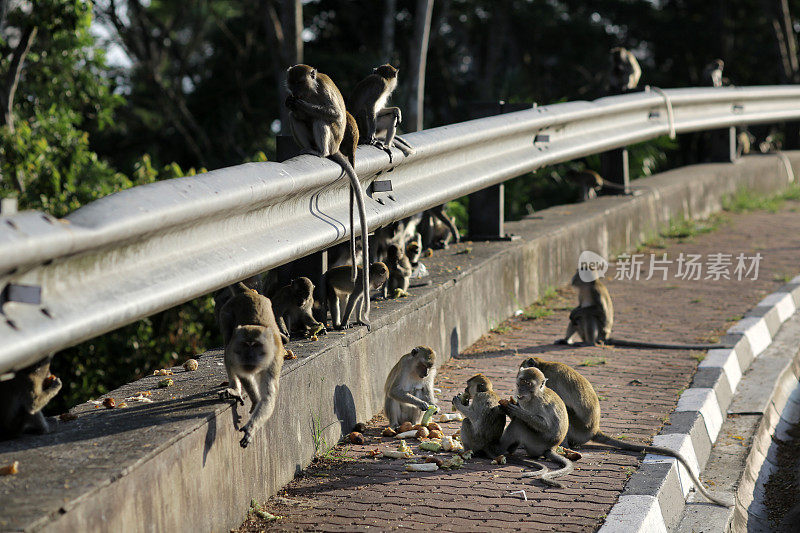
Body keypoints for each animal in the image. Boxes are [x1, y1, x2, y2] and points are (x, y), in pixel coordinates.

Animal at [219, 280, 288, 446]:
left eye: (256, 346)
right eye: (245, 345)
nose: (248, 357)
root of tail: (249, 293)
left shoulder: (273, 362)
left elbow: (268, 395)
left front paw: (252, 427)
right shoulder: (236, 354)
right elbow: (240, 370)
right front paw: (256, 401)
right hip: (226, 313)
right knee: (227, 345)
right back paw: (235, 388)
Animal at [560, 270, 728, 350]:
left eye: (577, 273)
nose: (572, 278)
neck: (587, 287)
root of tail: (605, 337)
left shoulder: (595, 291)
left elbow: (600, 312)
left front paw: (577, 312)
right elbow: (579, 309)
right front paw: (574, 311)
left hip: (601, 333)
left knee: (586, 317)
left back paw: (588, 342)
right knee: (576, 320)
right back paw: (566, 340)